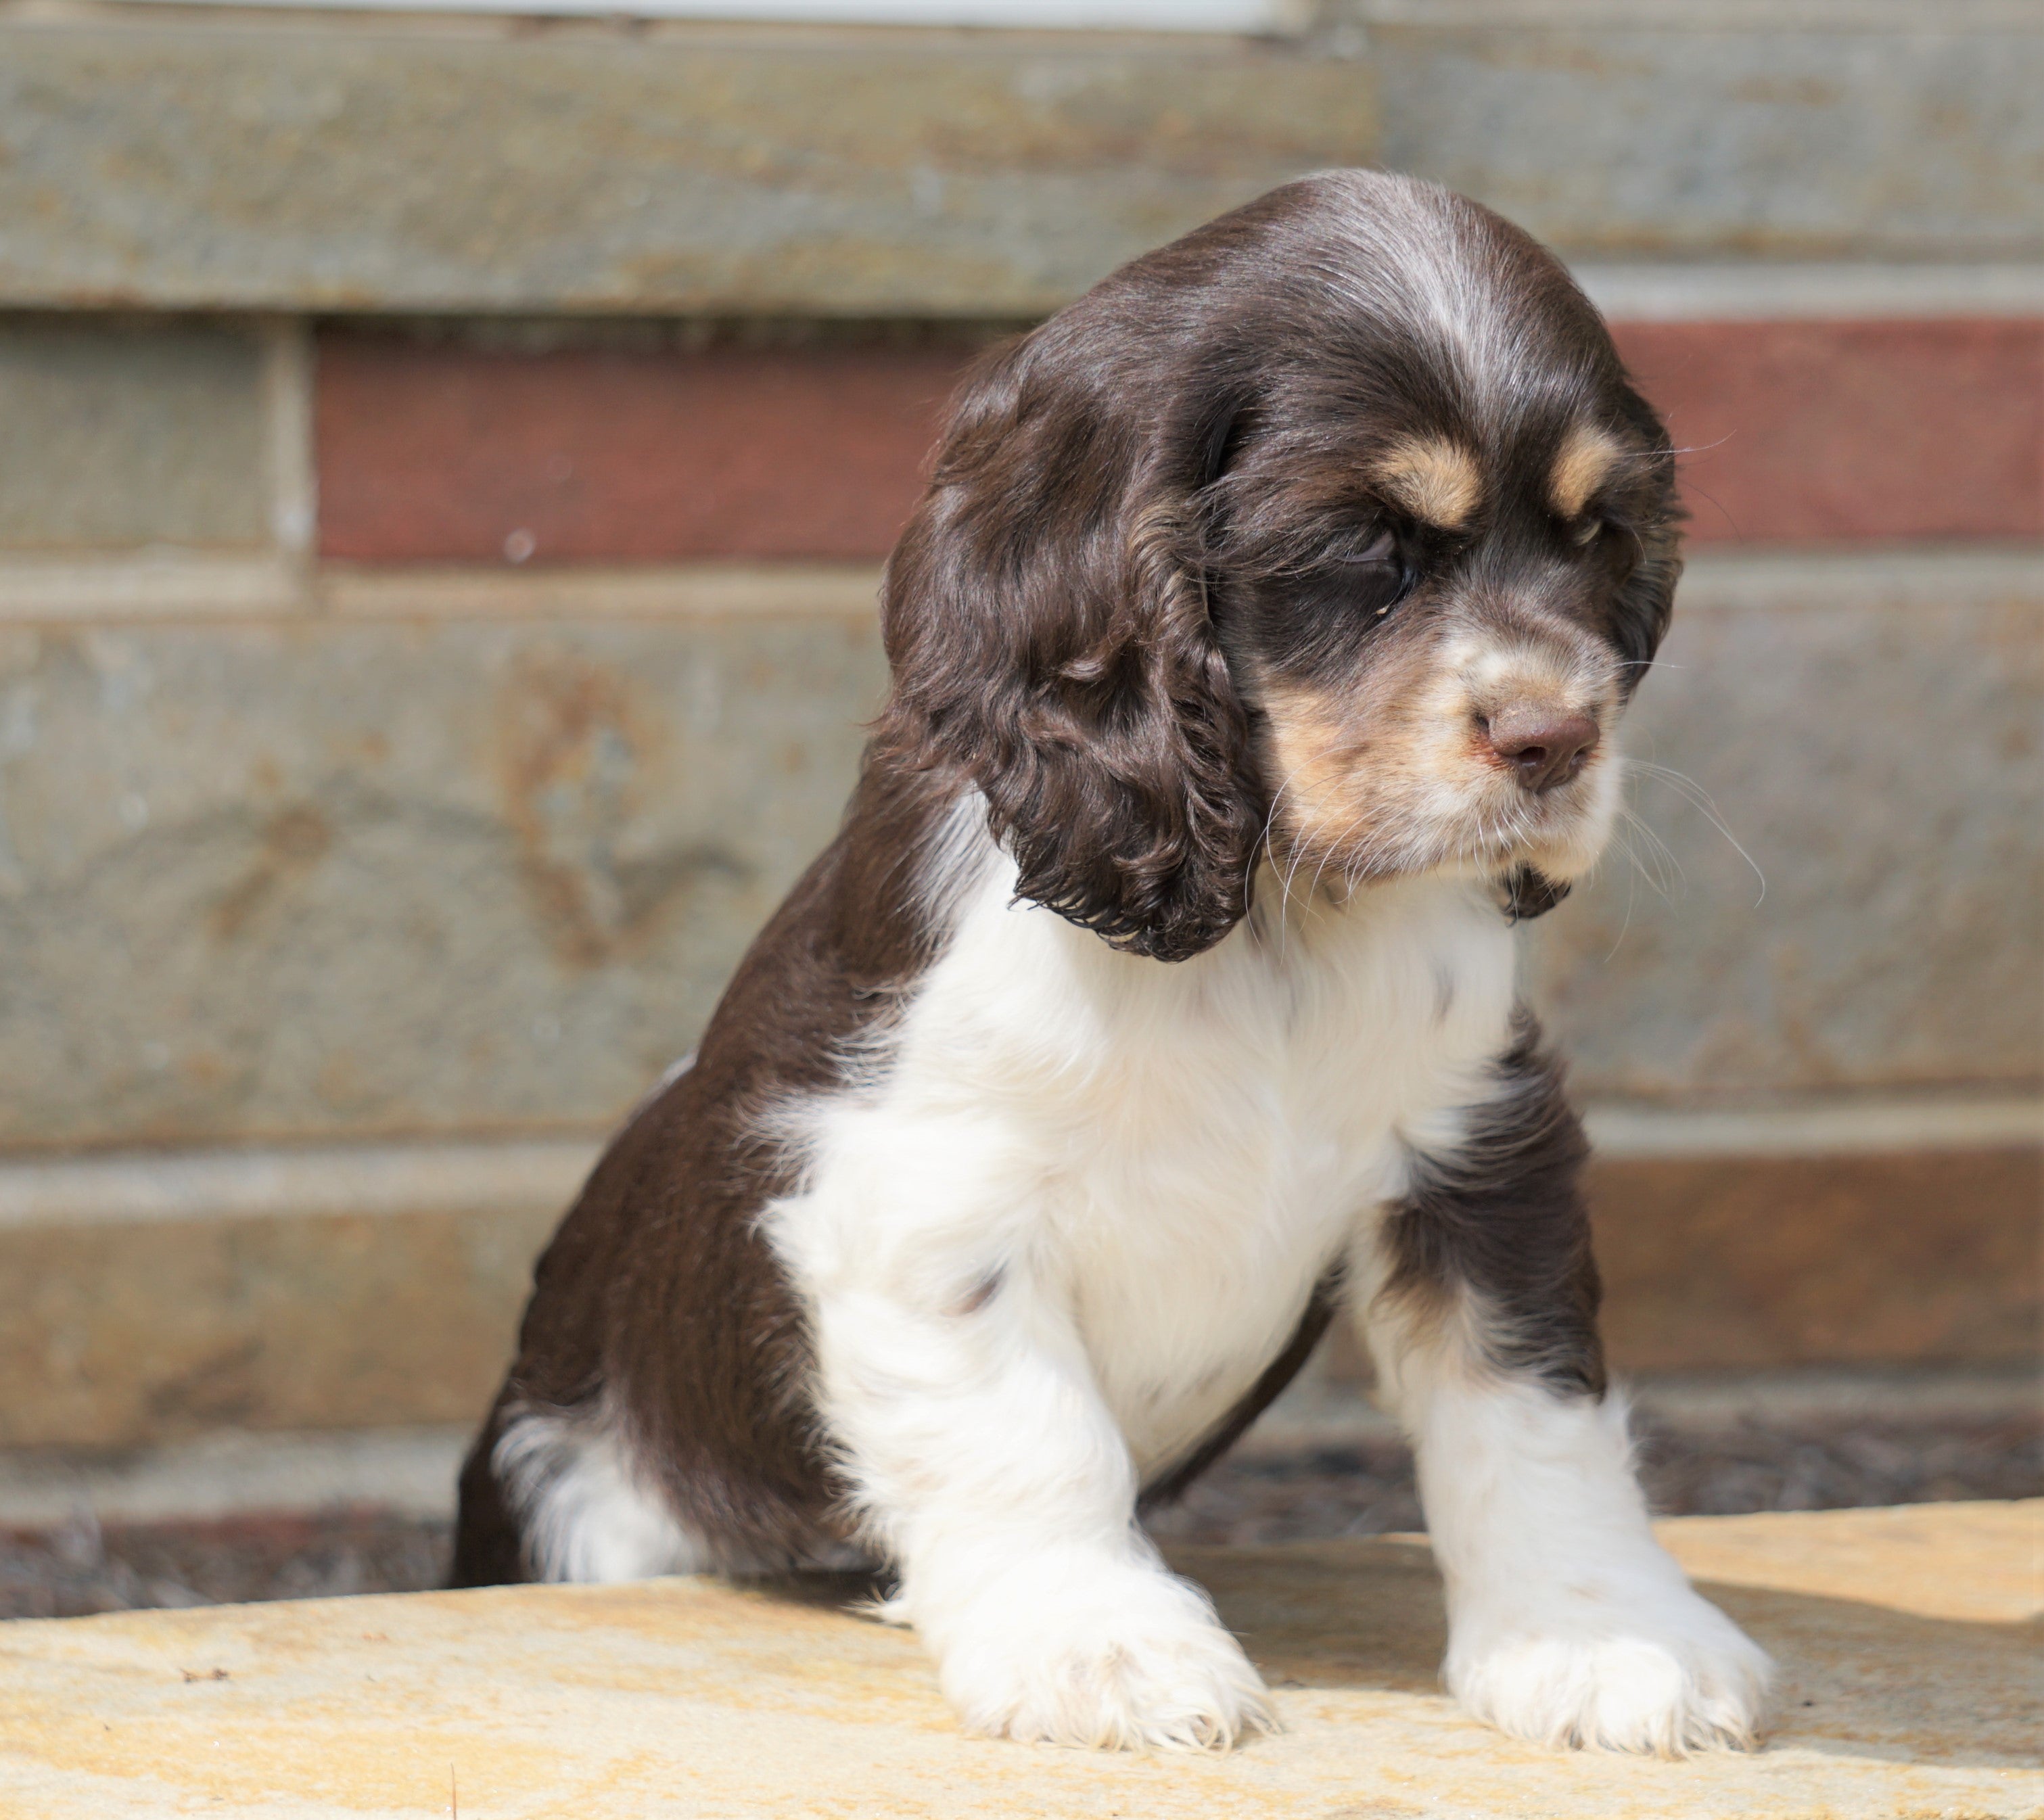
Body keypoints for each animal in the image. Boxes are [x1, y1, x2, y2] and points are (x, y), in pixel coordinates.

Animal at [455, 166, 1766, 1742]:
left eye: (1596, 536)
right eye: (1361, 549)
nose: (1555, 740)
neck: (1275, 922)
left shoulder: (1482, 1150)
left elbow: (1530, 1408)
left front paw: (1605, 1642)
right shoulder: (922, 1186)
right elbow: (1028, 1431)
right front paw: (1102, 1648)